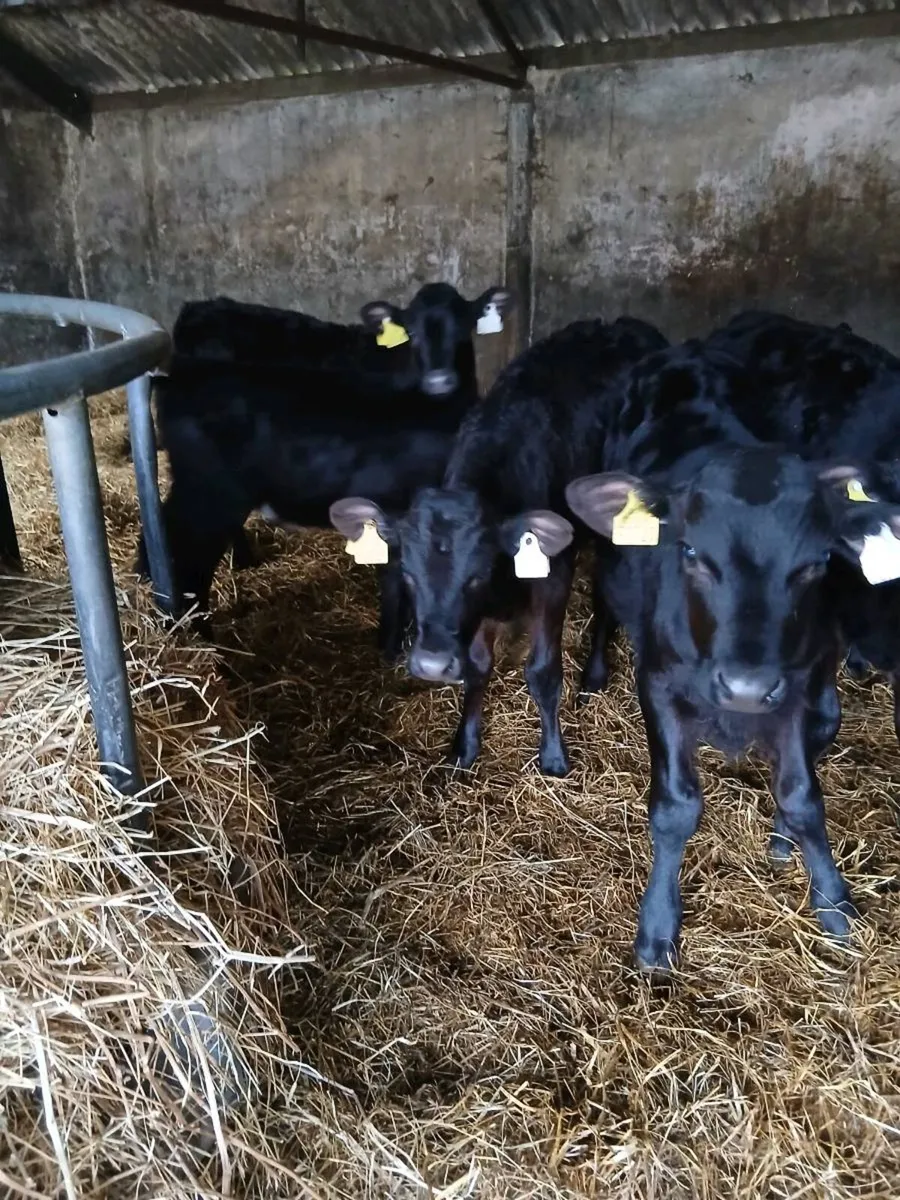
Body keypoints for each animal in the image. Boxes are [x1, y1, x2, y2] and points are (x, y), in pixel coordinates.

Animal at [144, 282, 513, 655]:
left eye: (464, 326)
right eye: (412, 333)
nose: (439, 381)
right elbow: (396, 580)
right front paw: (390, 648)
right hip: (211, 497)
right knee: (189, 565)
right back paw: (199, 642)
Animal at [329, 315, 669, 775]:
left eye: (476, 575)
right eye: (409, 576)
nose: (432, 664)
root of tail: (629, 323)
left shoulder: (552, 577)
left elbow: (543, 670)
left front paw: (553, 754)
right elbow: (476, 668)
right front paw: (464, 745)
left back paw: (595, 675)